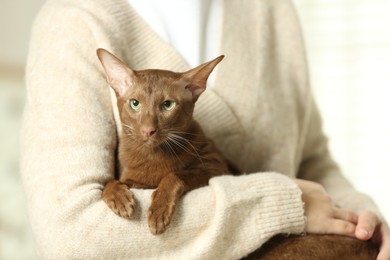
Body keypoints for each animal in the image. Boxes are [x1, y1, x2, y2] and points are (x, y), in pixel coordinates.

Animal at [97, 47, 238, 235]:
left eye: (167, 105)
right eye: (135, 103)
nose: (148, 130)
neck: (152, 156)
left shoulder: (216, 167)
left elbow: (175, 174)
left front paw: (159, 210)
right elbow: (108, 182)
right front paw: (120, 198)